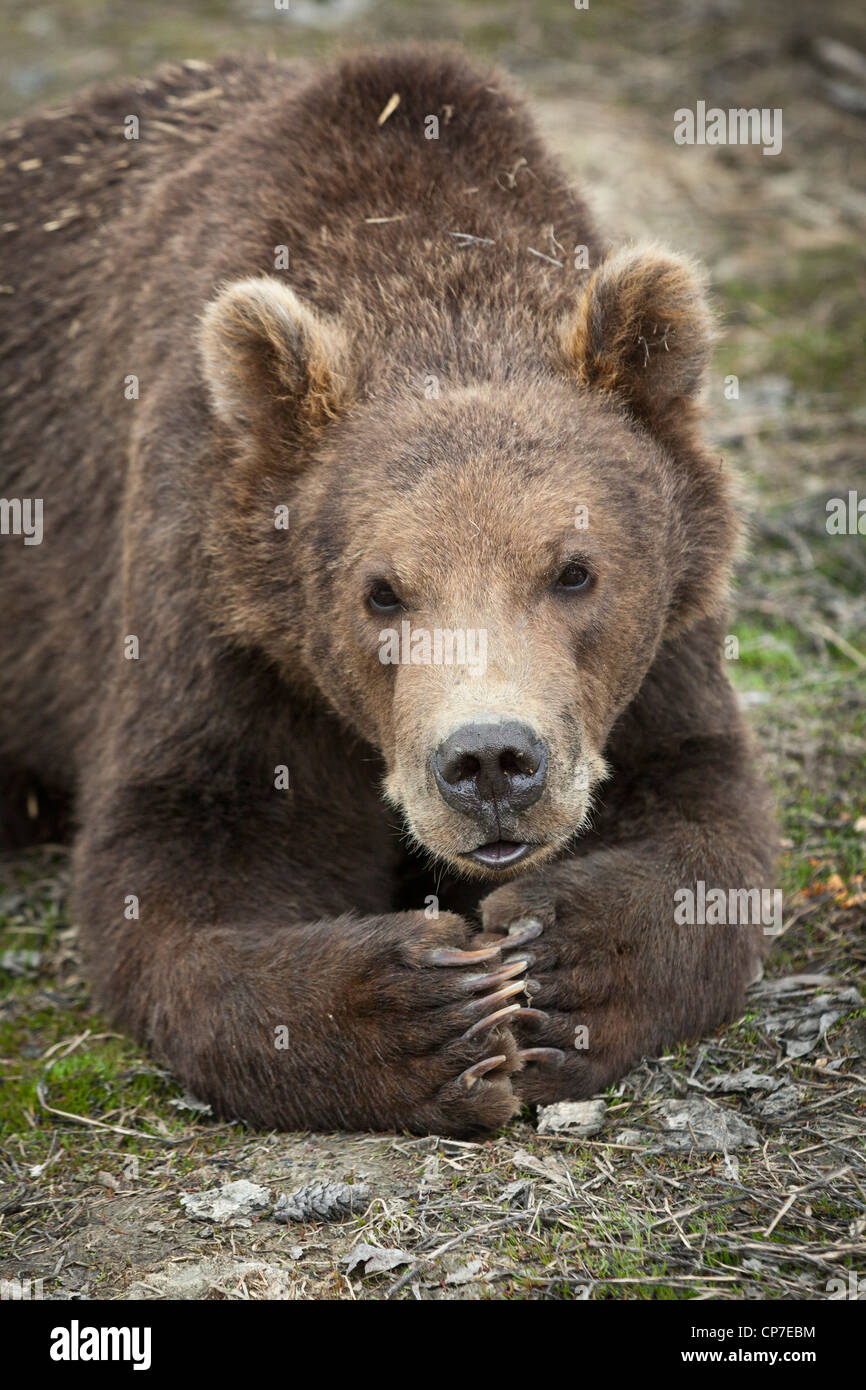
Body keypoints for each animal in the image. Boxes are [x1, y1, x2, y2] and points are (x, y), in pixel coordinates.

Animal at [1, 48, 778, 1139]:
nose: (490, 762)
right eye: (381, 592)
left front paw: (555, 967)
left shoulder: (666, 643)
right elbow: (181, 867)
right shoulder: (217, 622)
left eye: (573, 569)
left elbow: (707, 817)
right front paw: (433, 1006)